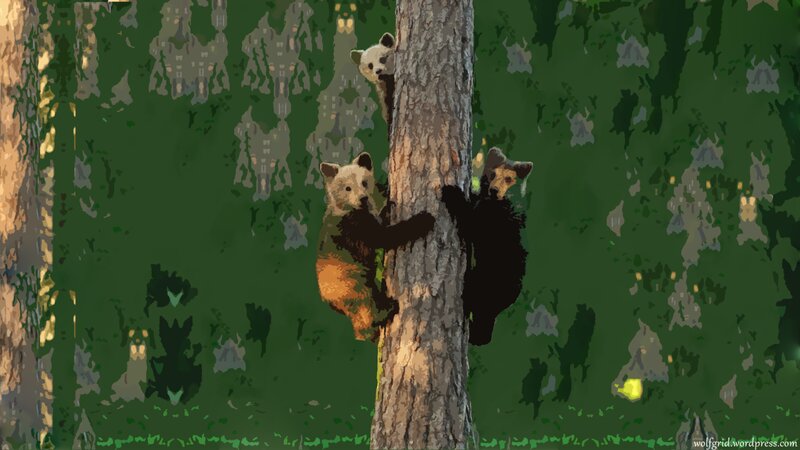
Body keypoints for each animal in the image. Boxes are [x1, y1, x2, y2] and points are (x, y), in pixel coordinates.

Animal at [317, 152, 434, 342]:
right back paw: (387, 310)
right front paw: (424, 219)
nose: (363, 198)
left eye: (364, 182)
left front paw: (387, 203)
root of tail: (329, 301)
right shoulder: (354, 227)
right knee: (366, 300)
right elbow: (384, 237)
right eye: (347, 188)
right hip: (349, 279)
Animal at [441, 147, 533, 345]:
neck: (495, 202)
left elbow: (470, 223)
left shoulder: (492, 220)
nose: (494, 190)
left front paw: (450, 190)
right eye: (492, 174)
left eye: (509, 179)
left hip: (488, 279)